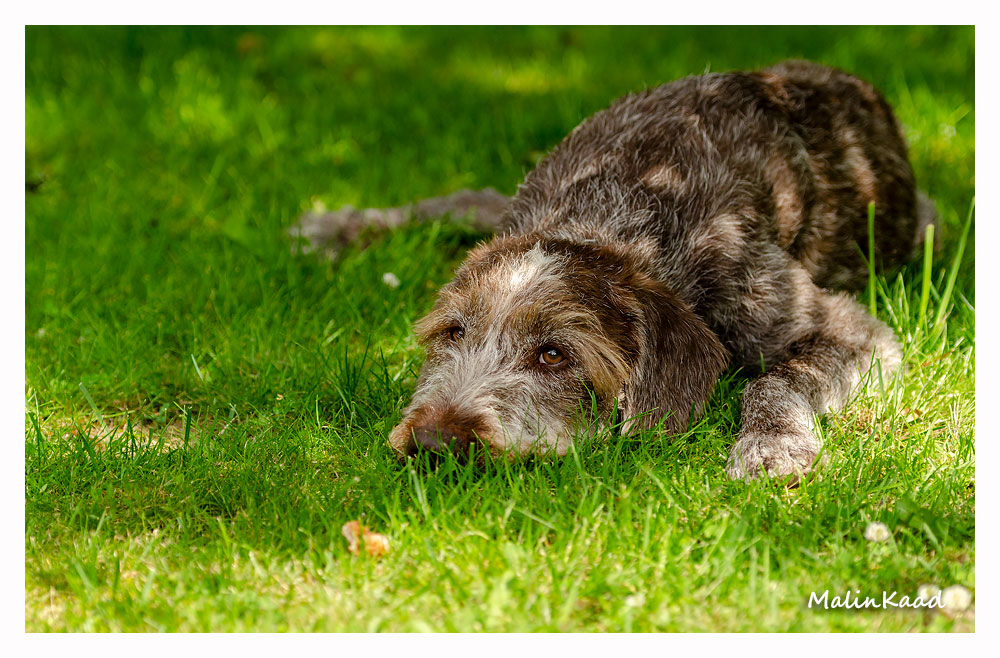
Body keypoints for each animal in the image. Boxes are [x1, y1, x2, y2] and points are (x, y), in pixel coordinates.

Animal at [293, 60, 935, 481]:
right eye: (453, 332)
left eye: (554, 354)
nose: (432, 441)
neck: (613, 208)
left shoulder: (841, 327)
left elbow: (775, 379)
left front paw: (771, 446)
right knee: (470, 199)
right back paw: (339, 228)